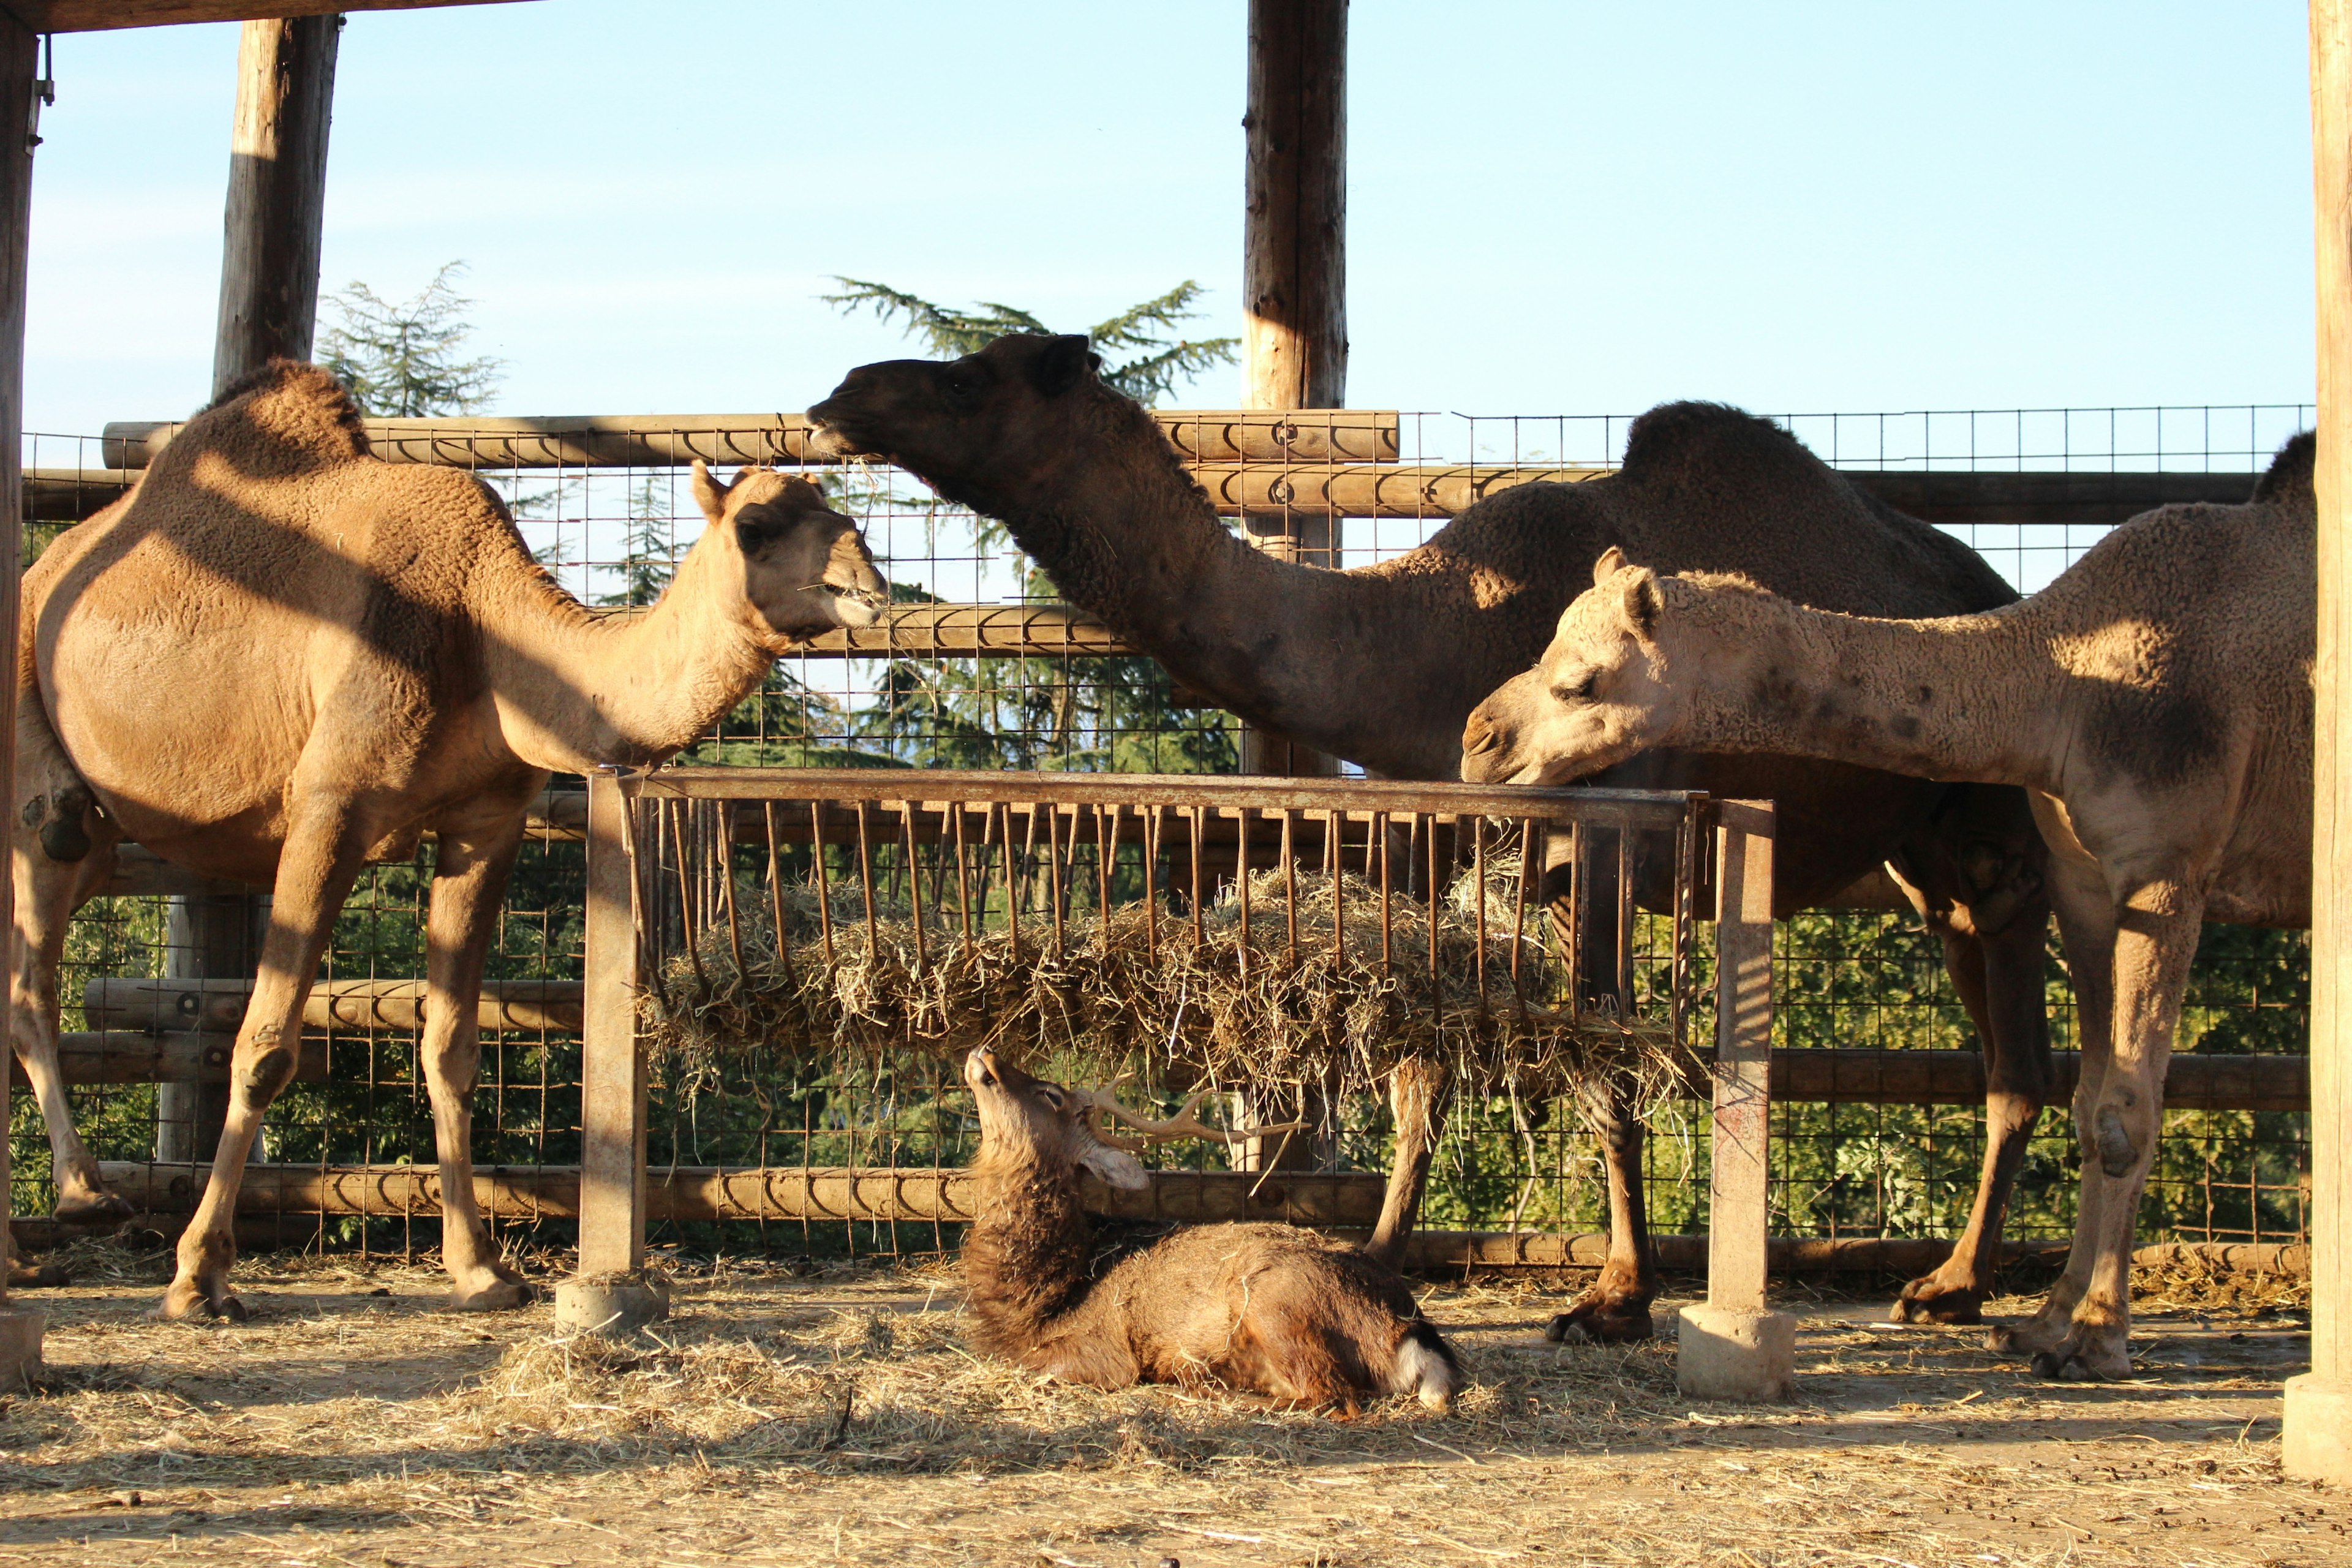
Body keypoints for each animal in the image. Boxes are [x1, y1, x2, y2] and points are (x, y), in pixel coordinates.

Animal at [13, 362, 889, 1316]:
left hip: (96, 830)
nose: (870, 585)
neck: (483, 633)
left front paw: (480, 1270)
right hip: (30, 779)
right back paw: (78, 1203)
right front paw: (198, 1276)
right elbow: (263, 1047)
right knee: (32, 970)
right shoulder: (329, 805)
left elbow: (453, 1049)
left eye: (843, 513)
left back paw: (54, 1227)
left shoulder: (484, 823)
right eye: (756, 528)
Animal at [809, 331, 2060, 1335]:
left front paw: (1615, 1299)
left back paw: (1961, 1289)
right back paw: (1961, 1283)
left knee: (2022, 1044)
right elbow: (1424, 1077)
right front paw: (1377, 1252)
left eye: (972, 378)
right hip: (1917, 856)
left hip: (1994, 824)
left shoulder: (1605, 842)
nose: (844, 390)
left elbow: (1602, 1071)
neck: (1422, 645)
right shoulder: (1444, 847)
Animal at [955, 1048, 1449, 1420]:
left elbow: (1042, 1367)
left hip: (1276, 1300)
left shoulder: (1101, 1349)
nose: (986, 1052)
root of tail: (1410, 1331)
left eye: (1051, 1095)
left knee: (1333, 1398)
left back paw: (1203, 1389)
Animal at [1468, 435, 2314, 1382]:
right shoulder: (2087, 878)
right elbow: (2095, 1099)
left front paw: (2096, 1336)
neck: (2064, 692)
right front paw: (2046, 1323)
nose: (1476, 738)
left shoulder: (2166, 867)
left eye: (1581, 682)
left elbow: (2124, 1113)